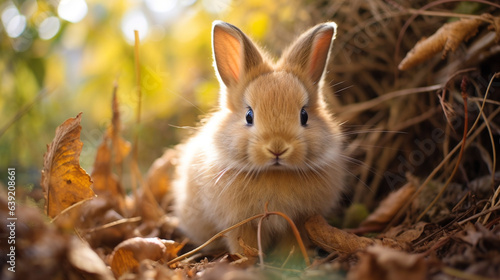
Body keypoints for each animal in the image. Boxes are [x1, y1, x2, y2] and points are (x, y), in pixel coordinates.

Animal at [174, 20, 346, 254]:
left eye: (304, 115)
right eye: (249, 116)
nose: (277, 148)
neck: (274, 173)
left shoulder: (296, 222)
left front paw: (291, 259)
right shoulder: (238, 223)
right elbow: (244, 245)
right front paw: (249, 260)